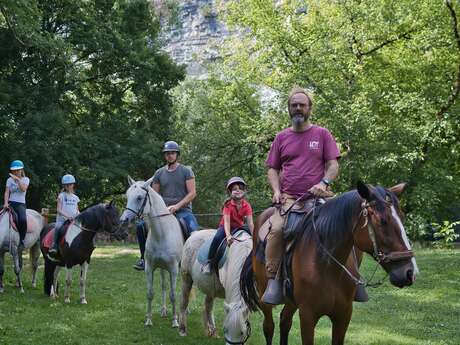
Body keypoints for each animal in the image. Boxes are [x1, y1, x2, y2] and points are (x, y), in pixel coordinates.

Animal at [120, 176, 185, 326]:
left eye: (139, 197)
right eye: (127, 196)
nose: (124, 220)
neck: (162, 233)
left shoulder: (173, 269)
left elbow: (173, 295)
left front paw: (175, 321)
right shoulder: (149, 268)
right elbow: (150, 293)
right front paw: (149, 320)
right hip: (162, 268)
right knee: (164, 285)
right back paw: (163, 310)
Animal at [241, 181, 416, 342]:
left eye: (402, 218)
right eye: (382, 221)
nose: (409, 272)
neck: (327, 266)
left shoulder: (343, 316)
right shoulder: (307, 316)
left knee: (285, 321)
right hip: (264, 294)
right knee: (269, 327)